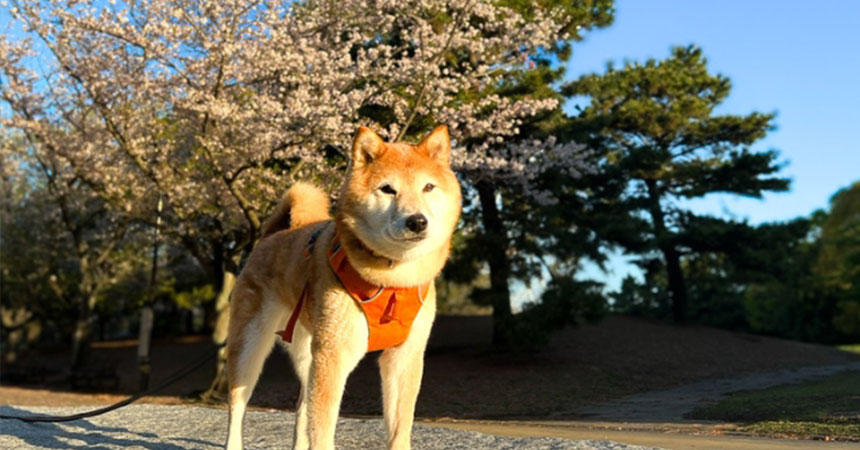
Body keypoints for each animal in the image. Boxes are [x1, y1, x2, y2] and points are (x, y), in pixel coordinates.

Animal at [225, 125, 460, 450]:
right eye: (388, 189)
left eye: (428, 187)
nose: (417, 221)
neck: (392, 280)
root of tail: (271, 235)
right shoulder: (334, 356)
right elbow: (323, 430)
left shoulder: (405, 355)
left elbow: (400, 428)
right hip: (251, 346)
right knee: (238, 406)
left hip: (308, 352)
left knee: (302, 409)